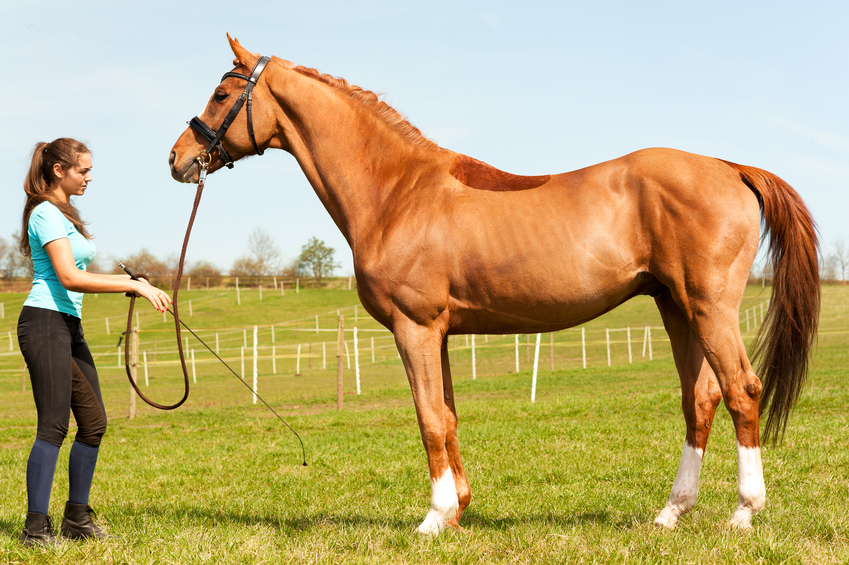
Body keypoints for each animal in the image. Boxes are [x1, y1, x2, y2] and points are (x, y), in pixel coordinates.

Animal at [167, 36, 816, 532]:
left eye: (221, 94)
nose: (178, 158)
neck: (397, 192)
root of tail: (731, 168)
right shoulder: (441, 334)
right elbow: (448, 416)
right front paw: (457, 511)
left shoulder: (415, 328)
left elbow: (428, 418)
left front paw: (433, 519)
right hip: (676, 308)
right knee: (700, 399)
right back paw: (670, 513)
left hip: (709, 308)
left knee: (742, 391)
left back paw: (743, 513)